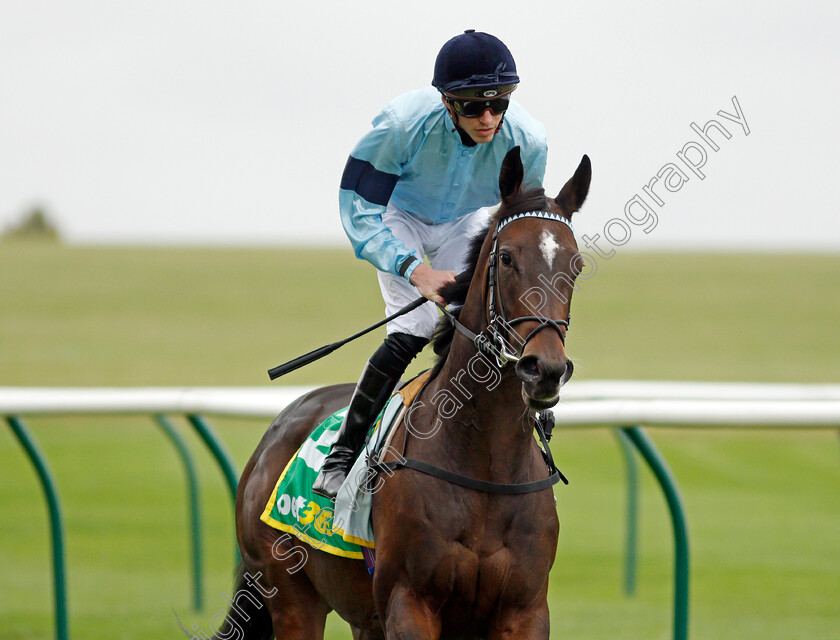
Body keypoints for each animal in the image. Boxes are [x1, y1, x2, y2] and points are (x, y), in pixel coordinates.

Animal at [217, 149, 592, 640]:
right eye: (507, 257)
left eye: (576, 265)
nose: (544, 368)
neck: (486, 467)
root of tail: (278, 430)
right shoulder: (408, 601)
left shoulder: (525, 610)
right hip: (292, 598)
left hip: (362, 616)